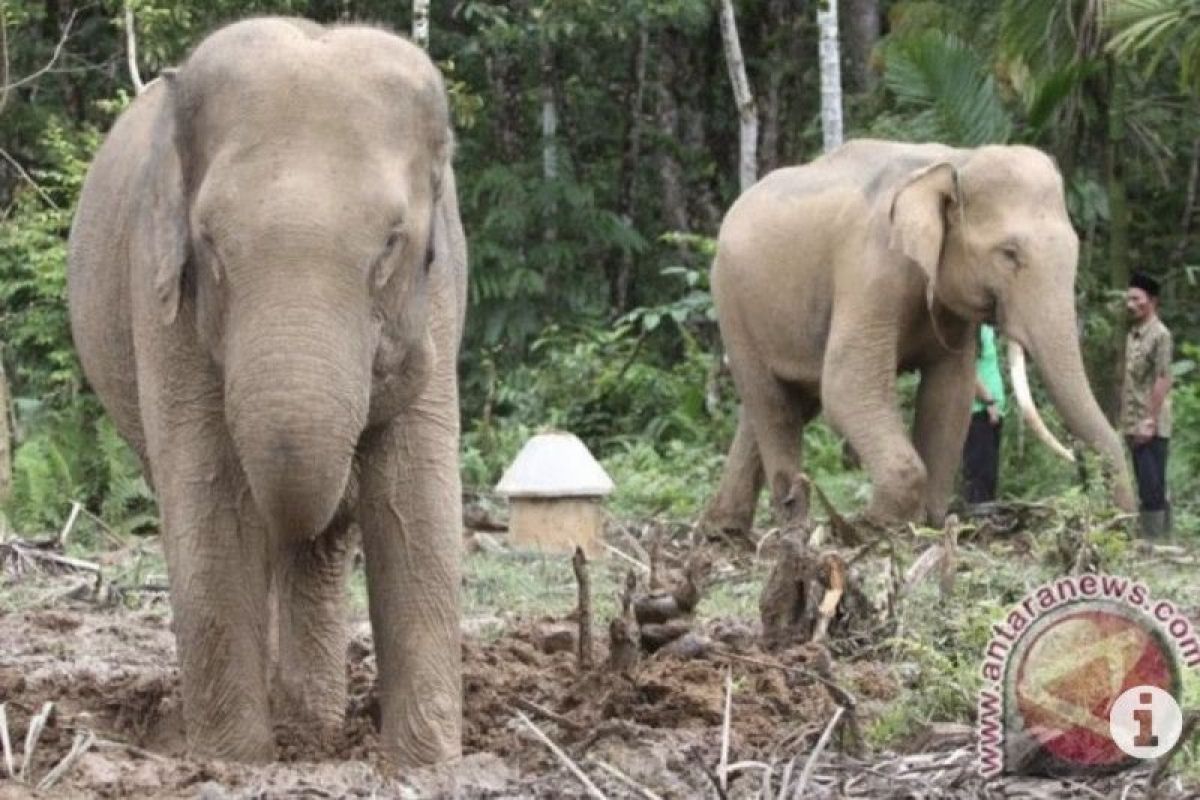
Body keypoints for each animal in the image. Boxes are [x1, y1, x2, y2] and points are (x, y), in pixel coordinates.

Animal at [705, 140, 1137, 534]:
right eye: (1009, 254)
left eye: (1076, 247)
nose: (1122, 524)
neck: (955, 161)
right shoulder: (870, 271)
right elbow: (847, 385)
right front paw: (877, 525)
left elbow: (949, 395)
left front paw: (928, 525)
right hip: (732, 304)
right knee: (774, 405)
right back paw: (792, 524)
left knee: (782, 405)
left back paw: (724, 530)